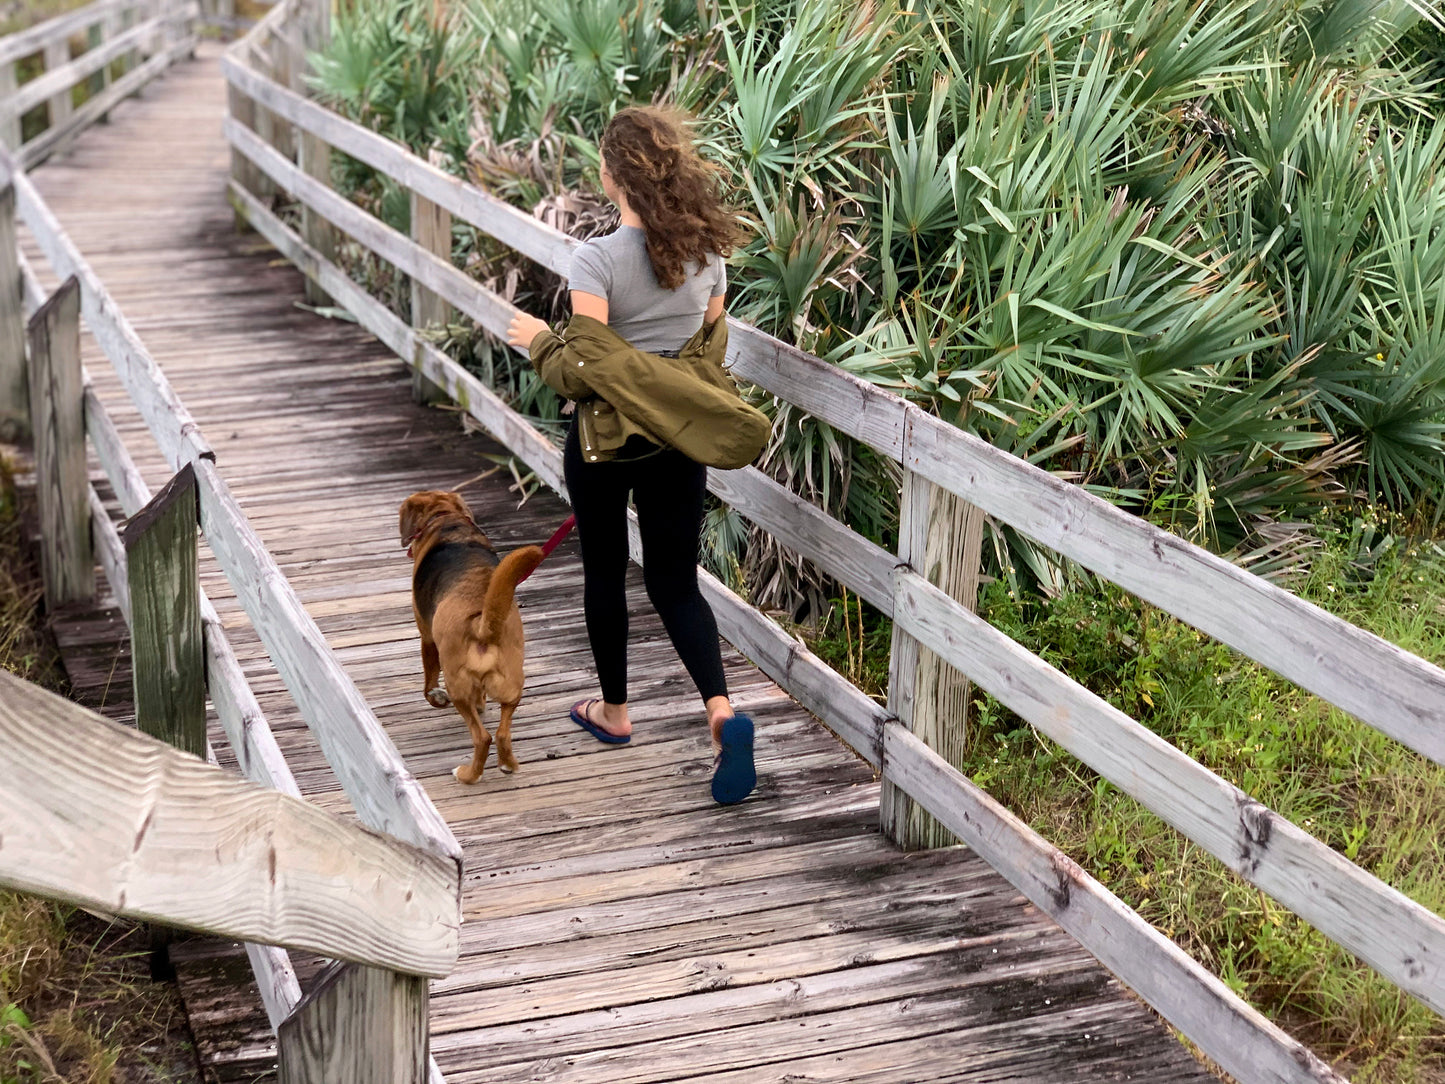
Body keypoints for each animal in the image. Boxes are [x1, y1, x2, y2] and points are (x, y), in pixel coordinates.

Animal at [398, 497, 543, 786]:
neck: (445, 519)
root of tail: (481, 623)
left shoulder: (427, 638)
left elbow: (428, 683)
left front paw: (435, 697)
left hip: (457, 688)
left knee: (482, 737)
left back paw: (468, 775)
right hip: (512, 687)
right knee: (502, 734)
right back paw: (508, 765)